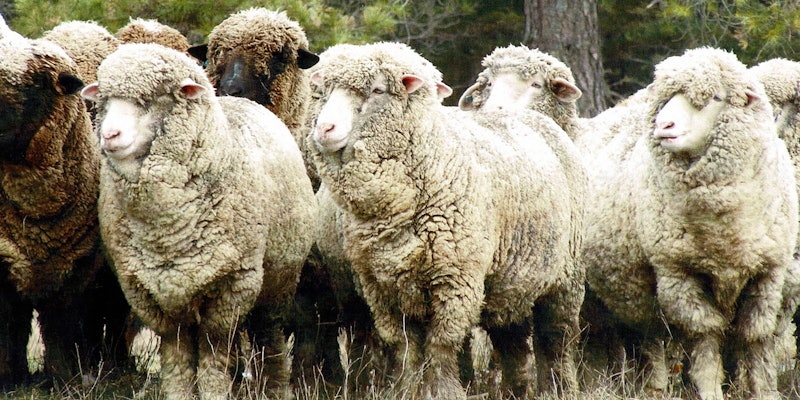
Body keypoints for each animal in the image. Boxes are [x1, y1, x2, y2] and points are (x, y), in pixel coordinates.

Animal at [0, 35, 128, 387]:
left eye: (33, 84)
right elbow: (9, 329)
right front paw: (10, 380)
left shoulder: (74, 272)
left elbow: (60, 330)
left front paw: (62, 379)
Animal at [81, 43, 317, 399]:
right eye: (105, 100)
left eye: (151, 99)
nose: (110, 135)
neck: (166, 230)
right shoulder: (148, 292)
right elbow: (177, 357)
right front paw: (180, 393)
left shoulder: (231, 287)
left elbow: (213, 354)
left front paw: (216, 391)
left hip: (277, 282)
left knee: (268, 335)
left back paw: (275, 387)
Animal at [307, 42, 586, 399]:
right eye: (325, 91)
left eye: (377, 90)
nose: (324, 129)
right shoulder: (382, 288)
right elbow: (406, 348)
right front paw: (408, 390)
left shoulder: (456, 279)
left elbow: (442, 345)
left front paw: (444, 390)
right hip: (511, 280)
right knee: (512, 341)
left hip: (566, 274)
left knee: (557, 339)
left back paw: (560, 388)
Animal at [583, 47, 798, 400]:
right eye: (668, 98)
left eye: (714, 97)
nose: (664, 125)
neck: (722, 229)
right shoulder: (679, 274)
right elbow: (706, 342)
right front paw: (710, 391)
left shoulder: (768, 273)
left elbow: (755, 341)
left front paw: (763, 391)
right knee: (634, 341)